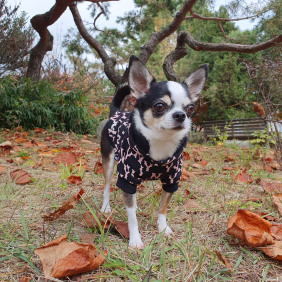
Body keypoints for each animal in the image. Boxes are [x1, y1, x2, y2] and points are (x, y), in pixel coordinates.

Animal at [101, 55, 207, 249]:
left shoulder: (171, 181)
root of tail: (117, 112)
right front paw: (135, 239)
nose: (181, 115)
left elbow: (162, 208)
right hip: (109, 162)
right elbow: (132, 218)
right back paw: (105, 207)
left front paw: (163, 229)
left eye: (190, 108)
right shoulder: (127, 178)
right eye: (159, 106)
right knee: (106, 186)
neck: (160, 142)